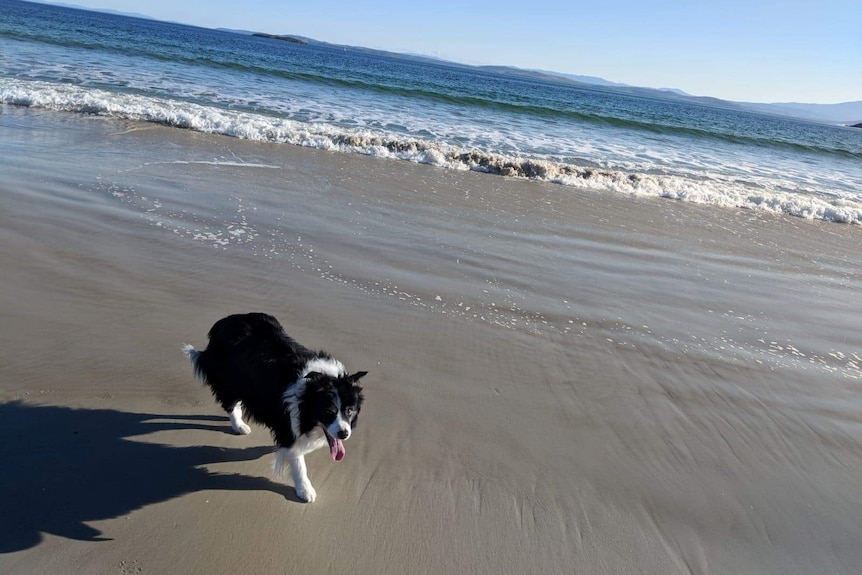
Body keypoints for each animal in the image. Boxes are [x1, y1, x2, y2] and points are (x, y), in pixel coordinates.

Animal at [184, 310, 366, 504]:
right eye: (328, 411)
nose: (344, 434)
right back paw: (239, 425)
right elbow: (297, 460)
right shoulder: (287, 423)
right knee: (230, 402)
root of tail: (224, 322)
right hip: (230, 378)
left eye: (349, 410)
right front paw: (305, 490)